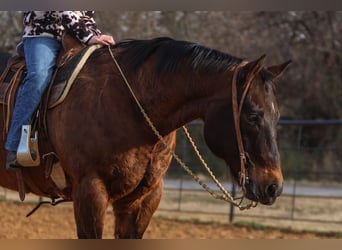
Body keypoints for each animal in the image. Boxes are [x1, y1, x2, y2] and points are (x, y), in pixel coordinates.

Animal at [0, 37, 290, 238]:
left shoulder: (143, 199)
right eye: (252, 115)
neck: (129, 104)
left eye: (276, 115)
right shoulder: (89, 191)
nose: (274, 186)